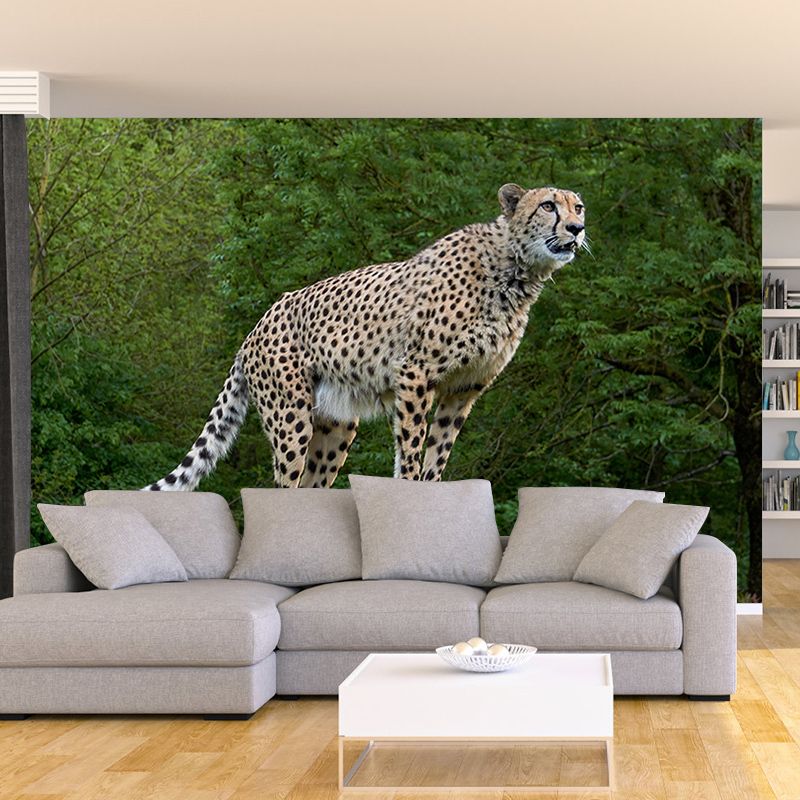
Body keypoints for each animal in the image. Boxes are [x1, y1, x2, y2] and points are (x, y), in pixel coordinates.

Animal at [146, 183, 586, 491]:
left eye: (577, 207)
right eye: (548, 205)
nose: (577, 228)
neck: (515, 270)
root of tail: (255, 328)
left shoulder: (465, 388)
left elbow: (438, 453)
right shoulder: (415, 374)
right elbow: (411, 448)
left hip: (335, 425)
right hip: (290, 415)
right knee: (285, 485)